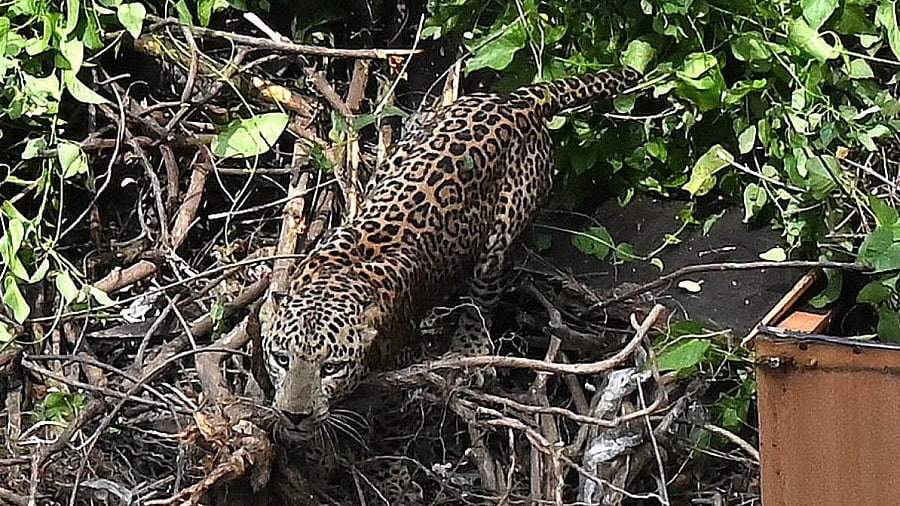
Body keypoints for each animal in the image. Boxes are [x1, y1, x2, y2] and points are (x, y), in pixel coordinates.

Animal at [261, 67, 640, 437]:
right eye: (281, 359)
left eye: (332, 367)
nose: (295, 415)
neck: (336, 277)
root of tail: (516, 100)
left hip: (502, 233)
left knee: (482, 299)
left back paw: (467, 351)